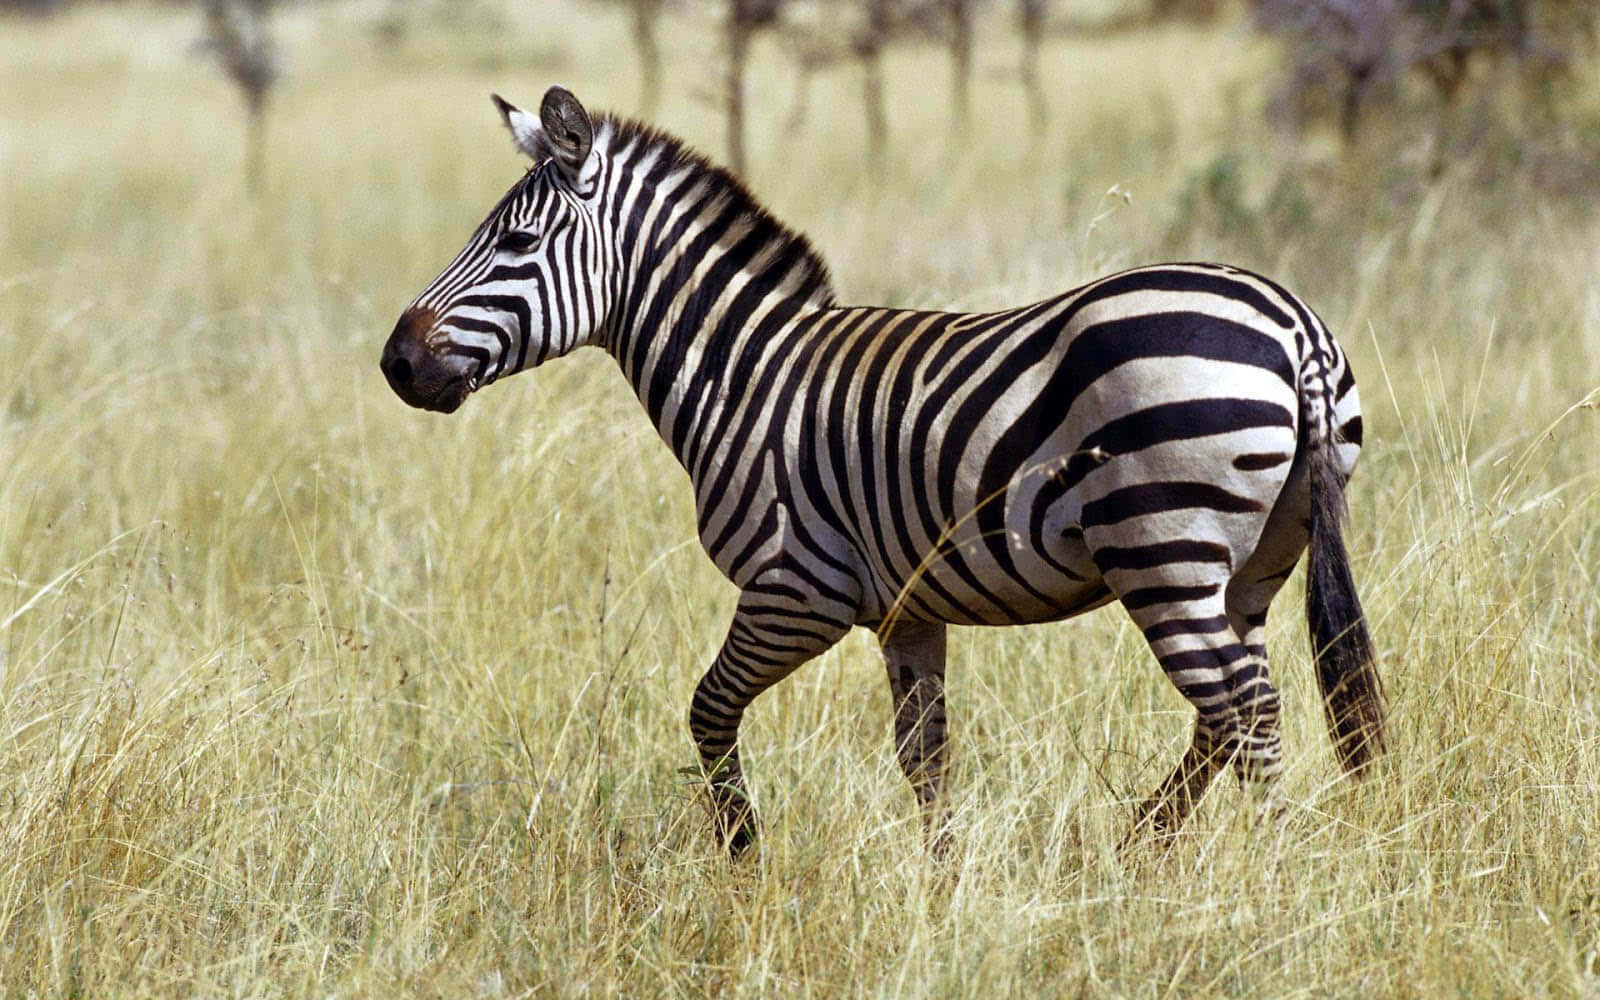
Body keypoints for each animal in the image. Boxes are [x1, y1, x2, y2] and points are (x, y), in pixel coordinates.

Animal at [380, 85, 1386, 855]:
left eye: (516, 246)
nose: (396, 363)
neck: (745, 373)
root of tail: (1295, 323)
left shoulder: (800, 588)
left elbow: (708, 711)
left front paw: (744, 856)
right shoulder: (909, 609)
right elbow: (925, 757)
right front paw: (941, 884)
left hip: (1162, 551)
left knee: (1247, 710)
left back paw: (1264, 872)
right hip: (1254, 562)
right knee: (1228, 711)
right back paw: (1142, 844)